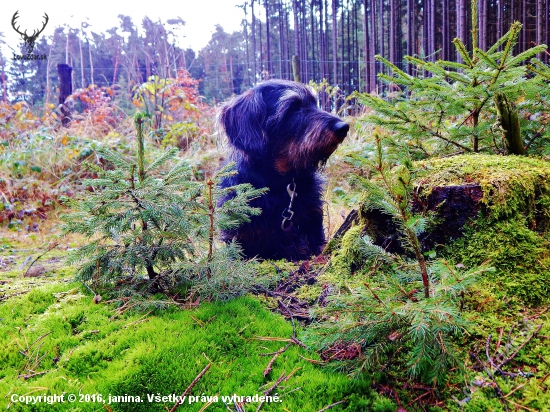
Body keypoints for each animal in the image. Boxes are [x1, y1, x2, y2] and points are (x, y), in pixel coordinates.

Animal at [220, 79, 350, 260]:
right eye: (294, 107)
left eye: (314, 103)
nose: (343, 127)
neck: (279, 183)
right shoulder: (239, 239)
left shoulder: (313, 224)